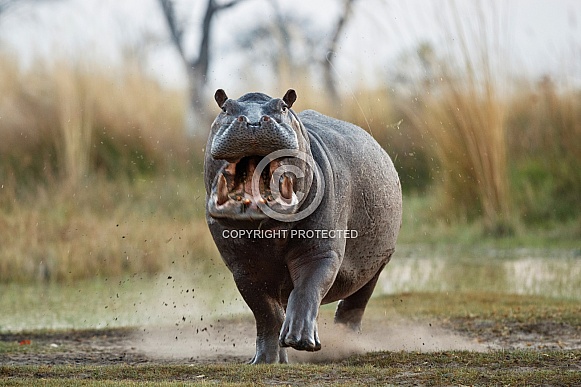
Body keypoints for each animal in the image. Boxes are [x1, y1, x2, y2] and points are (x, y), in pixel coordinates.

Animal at [203, 89, 398, 366]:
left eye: (283, 106)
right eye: (225, 107)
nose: (253, 121)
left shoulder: (320, 252)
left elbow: (307, 288)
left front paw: (301, 340)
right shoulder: (243, 268)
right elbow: (266, 312)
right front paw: (264, 360)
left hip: (376, 266)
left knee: (355, 304)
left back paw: (347, 343)